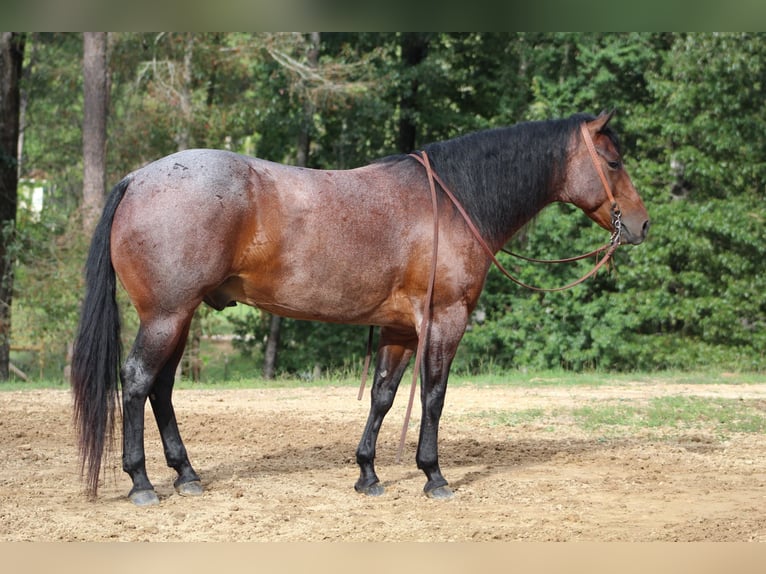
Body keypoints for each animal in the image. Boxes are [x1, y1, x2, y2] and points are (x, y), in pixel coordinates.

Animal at [70, 110, 648, 506]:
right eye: (613, 161)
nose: (641, 224)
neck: (453, 202)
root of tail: (138, 179)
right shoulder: (445, 322)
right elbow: (433, 397)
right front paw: (433, 475)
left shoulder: (399, 330)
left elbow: (384, 398)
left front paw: (368, 473)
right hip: (166, 317)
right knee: (138, 381)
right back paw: (142, 482)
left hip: (179, 317)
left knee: (161, 390)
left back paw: (186, 475)